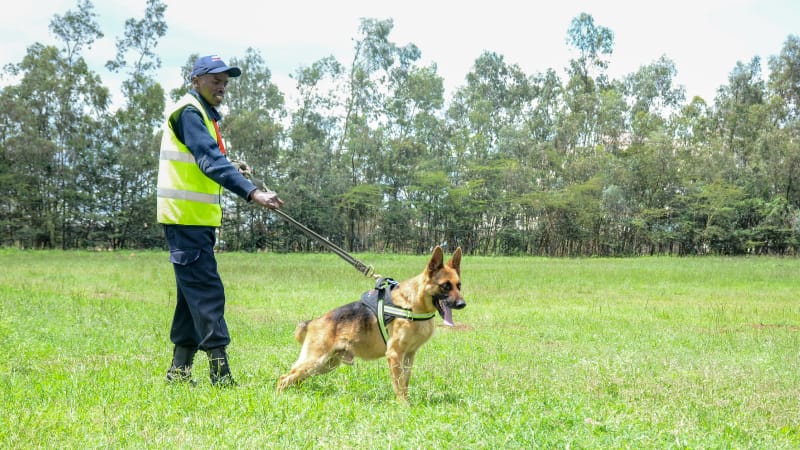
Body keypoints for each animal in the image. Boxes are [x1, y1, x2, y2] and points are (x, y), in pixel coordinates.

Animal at [276, 246, 466, 400]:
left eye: (459, 286)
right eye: (445, 286)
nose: (462, 304)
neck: (413, 303)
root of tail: (313, 322)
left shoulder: (408, 356)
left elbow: (405, 383)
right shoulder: (395, 354)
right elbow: (399, 386)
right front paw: (404, 407)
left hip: (325, 365)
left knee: (295, 379)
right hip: (316, 360)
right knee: (283, 378)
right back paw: (280, 398)